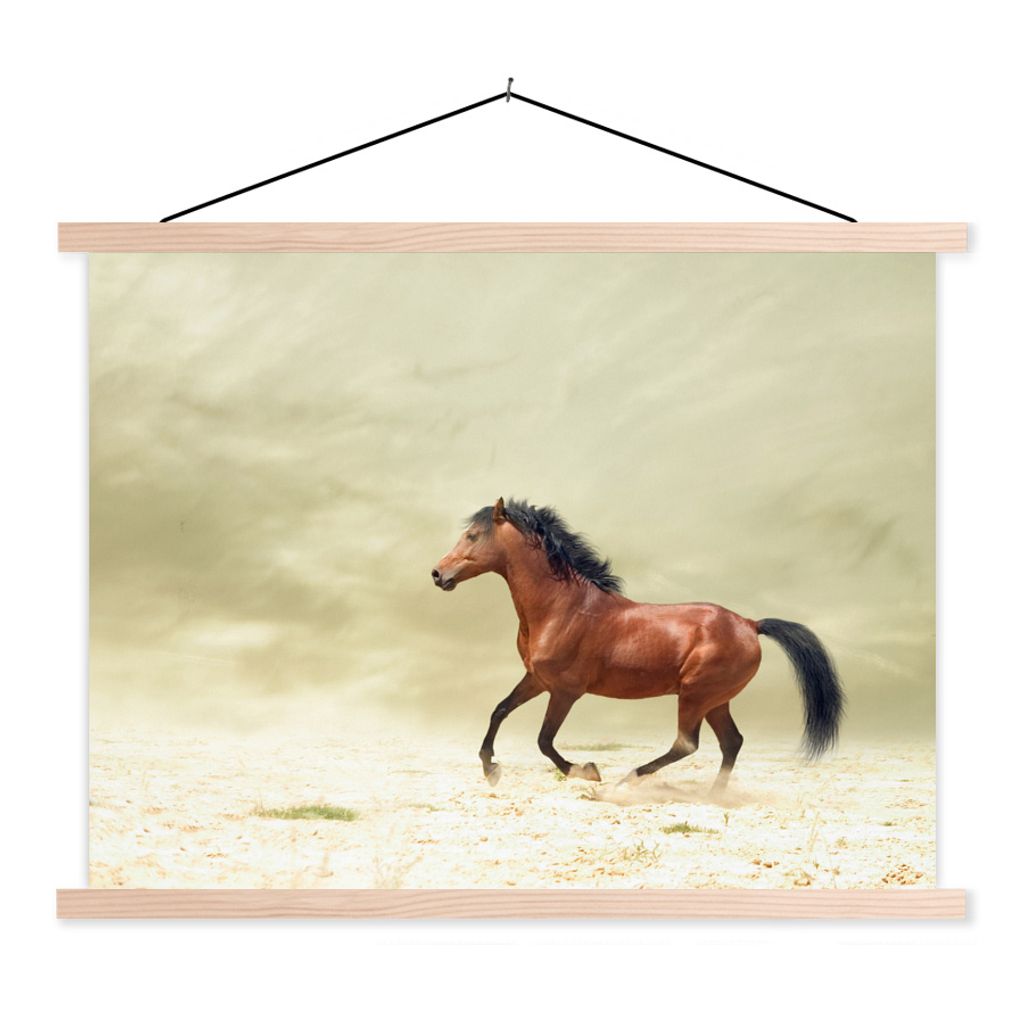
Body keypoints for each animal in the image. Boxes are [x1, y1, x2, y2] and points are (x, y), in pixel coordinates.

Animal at [431, 497, 845, 791]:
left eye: (472, 536)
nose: (438, 574)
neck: (560, 607)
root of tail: (749, 624)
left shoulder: (565, 691)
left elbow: (544, 741)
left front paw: (587, 771)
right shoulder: (536, 679)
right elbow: (499, 711)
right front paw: (491, 769)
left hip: (695, 695)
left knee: (687, 744)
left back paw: (628, 779)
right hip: (716, 700)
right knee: (732, 742)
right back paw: (714, 794)